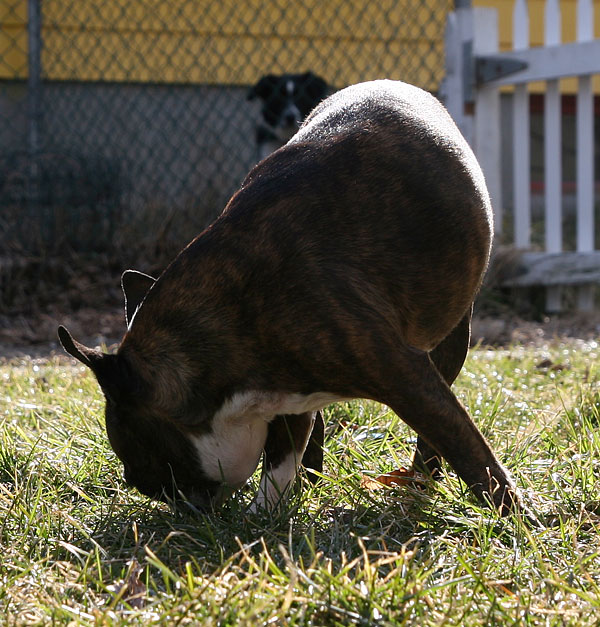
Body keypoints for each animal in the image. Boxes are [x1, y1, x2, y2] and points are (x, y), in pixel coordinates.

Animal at [57, 81, 524, 516]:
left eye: (141, 459)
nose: (138, 484)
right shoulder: (287, 398)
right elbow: (283, 456)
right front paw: (266, 516)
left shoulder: (404, 377)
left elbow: (469, 452)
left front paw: (519, 519)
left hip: (450, 340)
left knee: (436, 429)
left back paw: (422, 478)